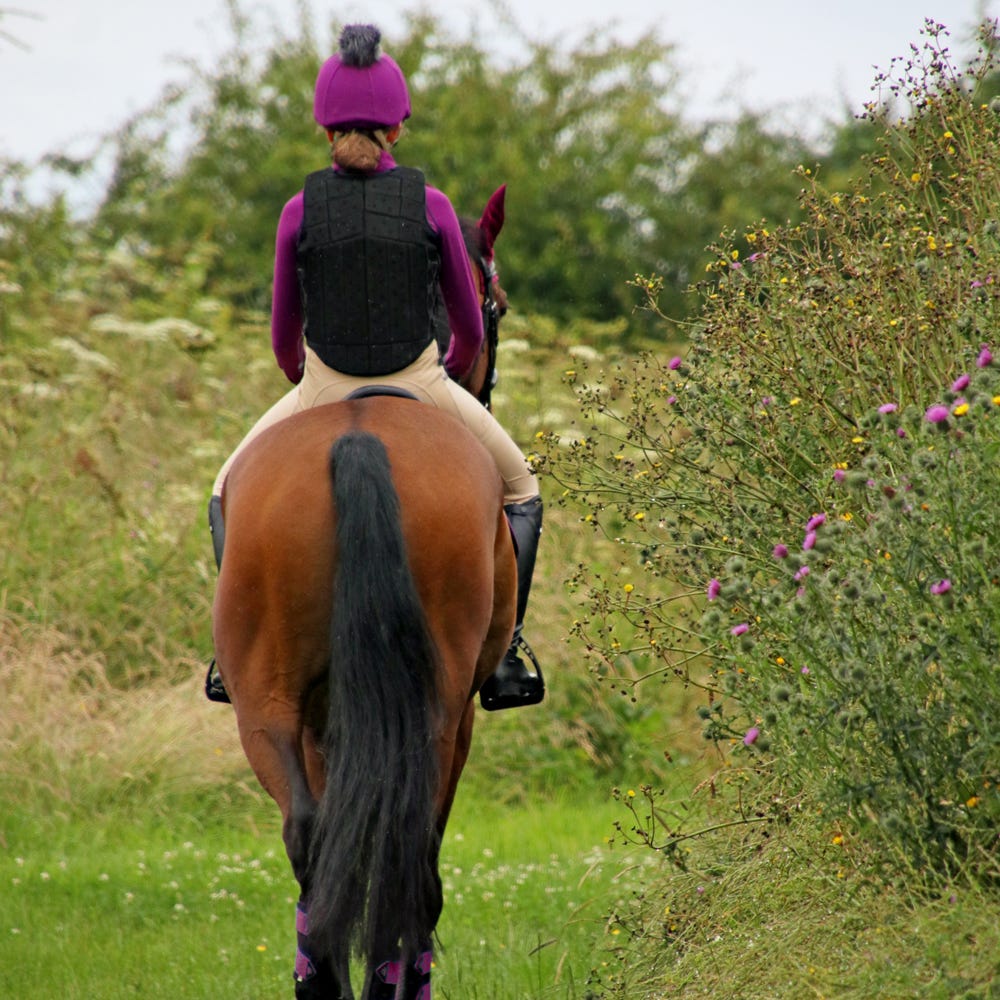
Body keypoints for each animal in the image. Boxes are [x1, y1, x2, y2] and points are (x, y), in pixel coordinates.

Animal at [214, 188, 520, 1000]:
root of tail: (360, 436)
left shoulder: (327, 720)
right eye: (498, 305)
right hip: (435, 711)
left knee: (310, 835)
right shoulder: (457, 717)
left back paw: (321, 981)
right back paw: (391, 982)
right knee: (408, 853)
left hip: (267, 702)